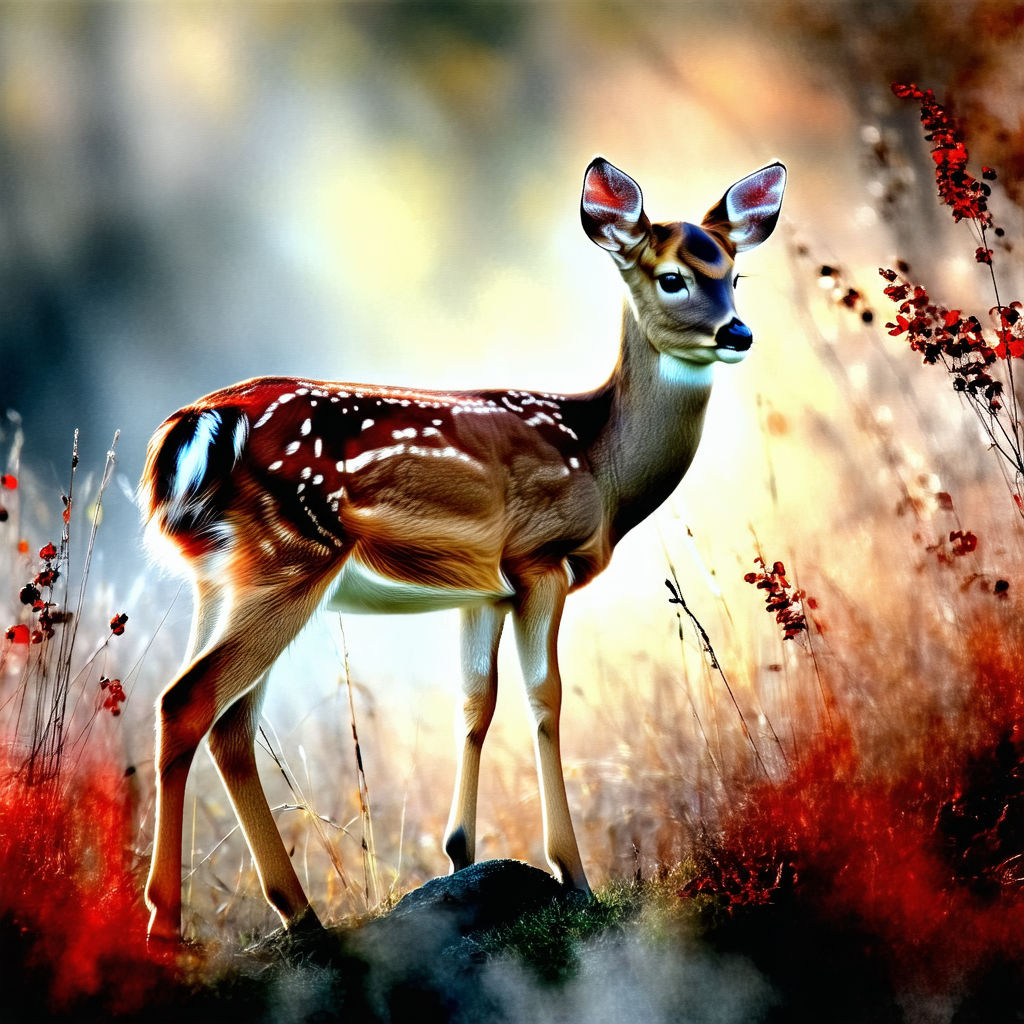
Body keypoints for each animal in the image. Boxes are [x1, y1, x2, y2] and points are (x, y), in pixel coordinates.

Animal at [140, 156, 786, 942]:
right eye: (671, 277)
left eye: (734, 272)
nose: (738, 331)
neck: (600, 463)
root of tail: (195, 426)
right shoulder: (540, 560)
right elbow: (545, 698)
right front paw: (572, 873)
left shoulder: (482, 589)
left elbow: (475, 702)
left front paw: (459, 854)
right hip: (292, 552)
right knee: (190, 701)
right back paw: (167, 924)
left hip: (222, 573)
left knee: (229, 722)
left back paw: (298, 913)